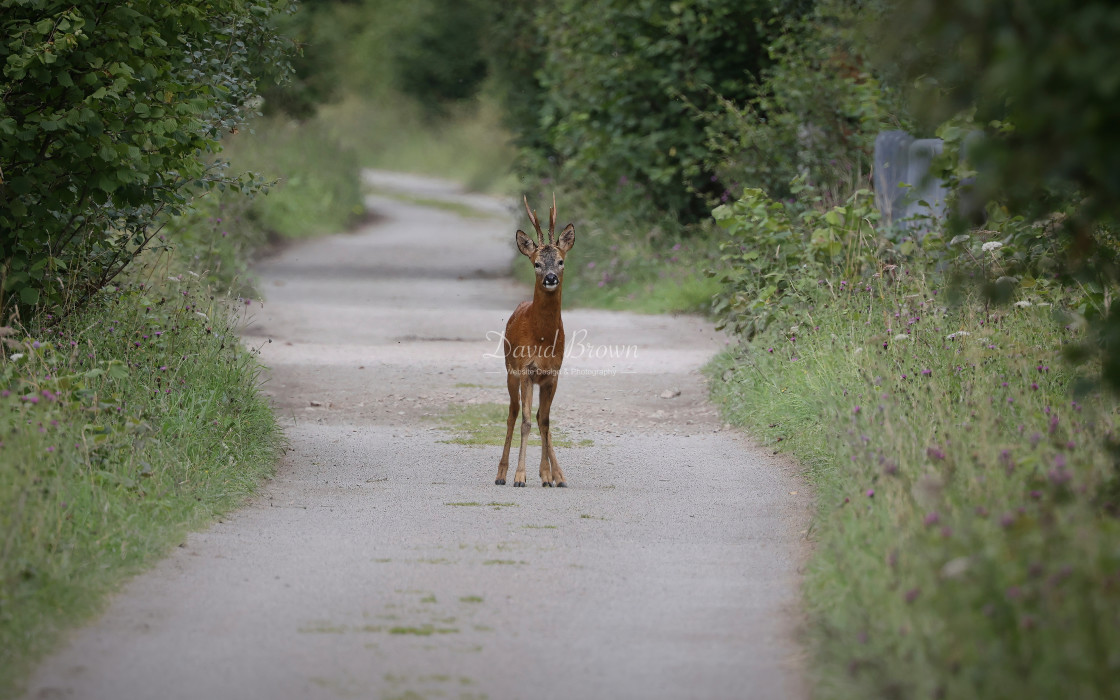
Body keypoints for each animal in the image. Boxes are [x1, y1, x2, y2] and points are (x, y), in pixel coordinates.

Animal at [495, 192, 573, 486]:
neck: (542, 339)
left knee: (539, 417)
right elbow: (527, 421)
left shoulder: (553, 373)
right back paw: (501, 473)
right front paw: (520, 475)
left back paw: (554, 474)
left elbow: (545, 421)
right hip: (510, 371)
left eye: (561, 261)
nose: (550, 278)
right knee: (513, 413)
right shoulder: (526, 370)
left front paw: (551, 475)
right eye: (536, 263)